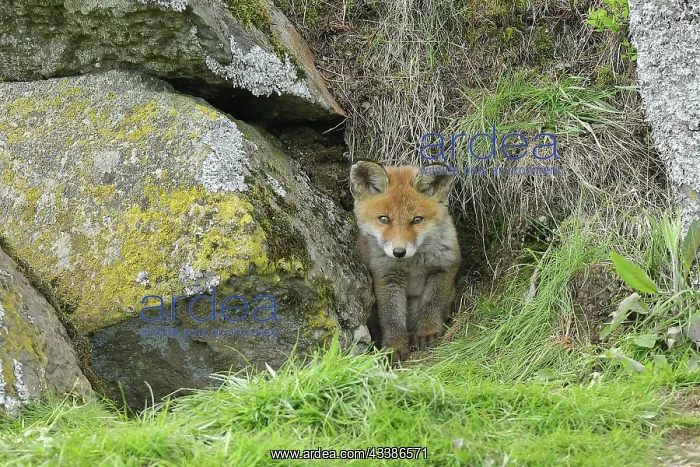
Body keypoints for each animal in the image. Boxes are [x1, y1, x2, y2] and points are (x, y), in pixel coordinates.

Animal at [349, 161, 461, 364]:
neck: (412, 265)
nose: (399, 252)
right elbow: (391, 318)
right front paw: (394, 346)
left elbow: (432, 304)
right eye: (384, 219)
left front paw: (428, 331)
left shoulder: (444, 267)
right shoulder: (386, 277)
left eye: (417, 220)